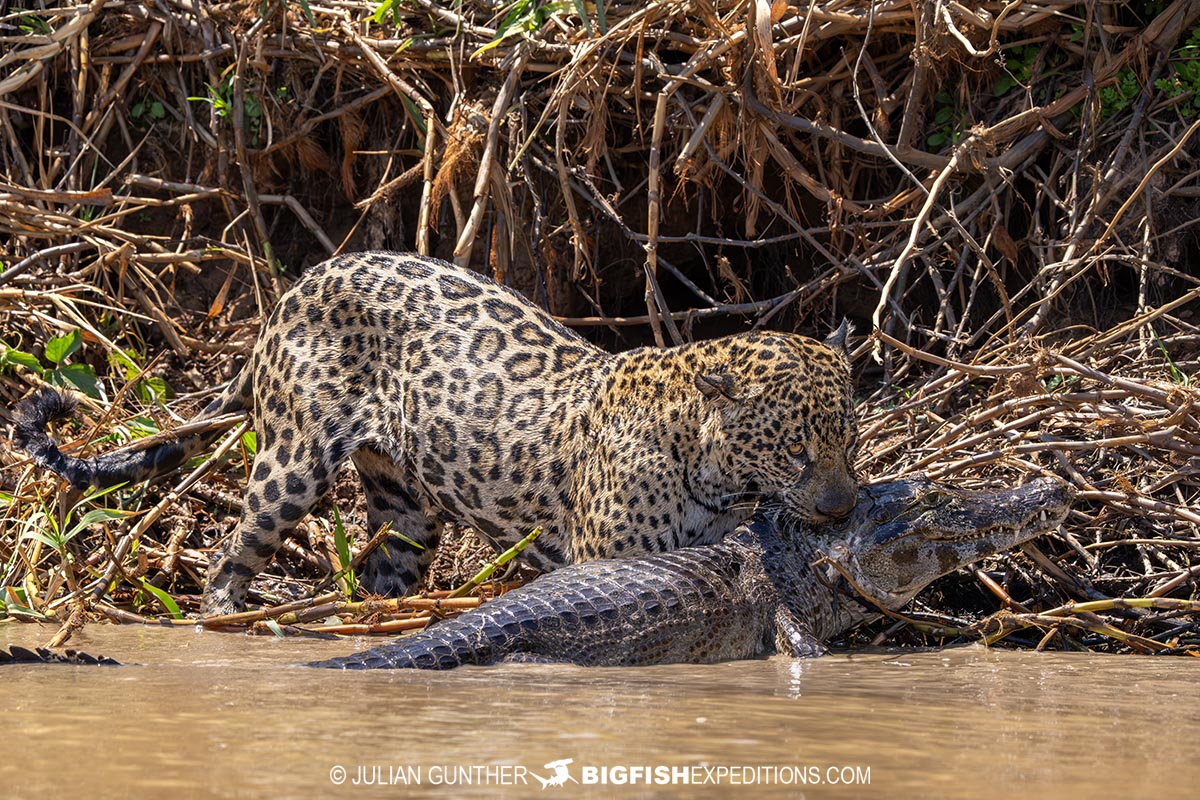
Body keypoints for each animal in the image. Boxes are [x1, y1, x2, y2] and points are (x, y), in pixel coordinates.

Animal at [13, 251, 859, 616]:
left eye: (848, 440)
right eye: (795, 449)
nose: (844, 508)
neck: (713, 474)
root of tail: (297, 285)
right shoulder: (607, 558)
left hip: (405, 506)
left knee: (388, 562)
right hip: (292, 461)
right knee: (232, 551)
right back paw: (229, 616)